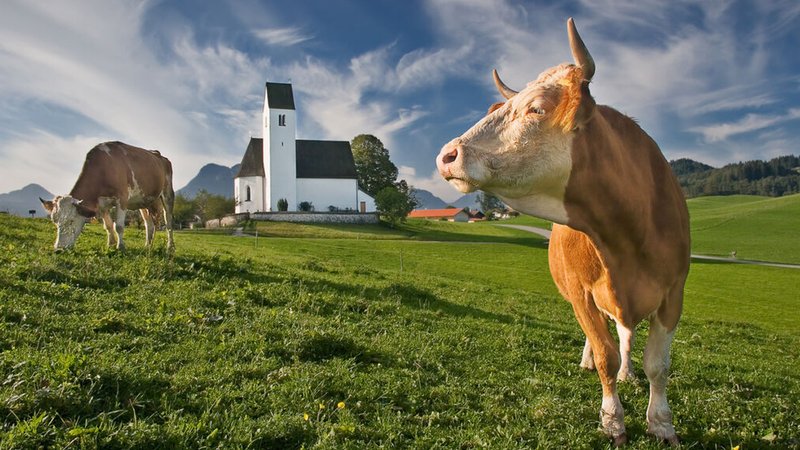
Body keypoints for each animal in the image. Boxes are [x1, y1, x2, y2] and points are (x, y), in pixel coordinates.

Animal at [41, 141, 175, 252]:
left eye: (71, 221)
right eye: (54, 221)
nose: (59, 249)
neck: (104, 168)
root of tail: (158, 155)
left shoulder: (122, 199)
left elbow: (119, 226)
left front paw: (120, 247)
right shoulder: (101, 204)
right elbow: (108, 226)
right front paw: (110, 245)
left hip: (167, 194)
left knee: (168, 221)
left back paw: (170, 247)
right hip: (143, 201)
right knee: (149, 224)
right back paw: (148, 246)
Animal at [436, 19, 689, 446]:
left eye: (537, 108)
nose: (446, 156)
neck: (627, 239)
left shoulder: (674, 293)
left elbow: (657, 364)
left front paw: (661, 423)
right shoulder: (581, 291)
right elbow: (605, 354)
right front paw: (613, 421)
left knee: (625, 334)